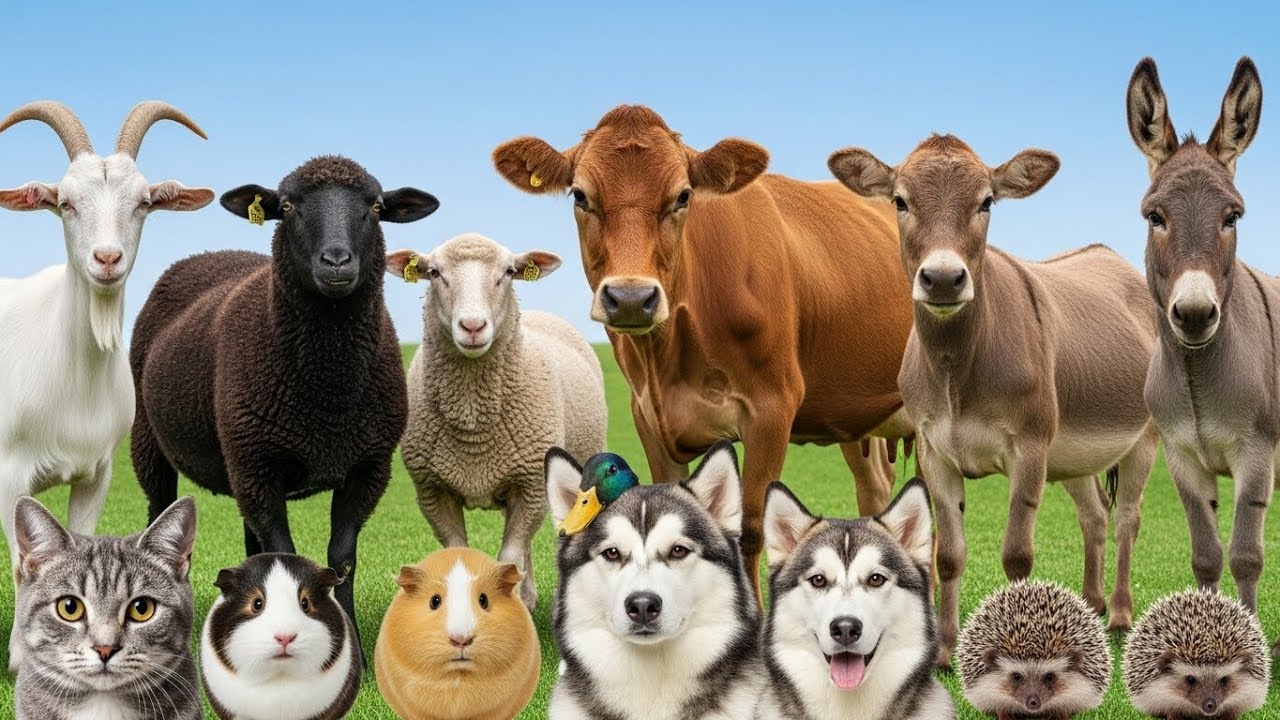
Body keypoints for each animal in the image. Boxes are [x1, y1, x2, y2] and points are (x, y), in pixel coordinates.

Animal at [0, 100, 212, 673]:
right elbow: (21, 561)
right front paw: (21, 659)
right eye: (65, 203)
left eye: (144, 203)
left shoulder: (97, 472)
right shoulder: (8, 473)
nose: (107, 259)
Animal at [129, 155, 440, 647]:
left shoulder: (367, 466)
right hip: (158, 443)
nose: (336, 261)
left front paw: (352, 645)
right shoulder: (260, 465)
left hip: (242, 461)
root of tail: (209, 254)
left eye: (375, 207)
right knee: (159, 513)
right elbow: (284, 554)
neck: (328, 391)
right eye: (289, 206)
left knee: (251, 543)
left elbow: (341, 557)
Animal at [385, 232, 607, 609]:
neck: (473, 421)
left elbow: (510, 555)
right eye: (434, 272)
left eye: (508, 272)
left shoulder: (530, 485)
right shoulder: (432, 490)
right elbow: (460, 553)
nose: (473, 326)